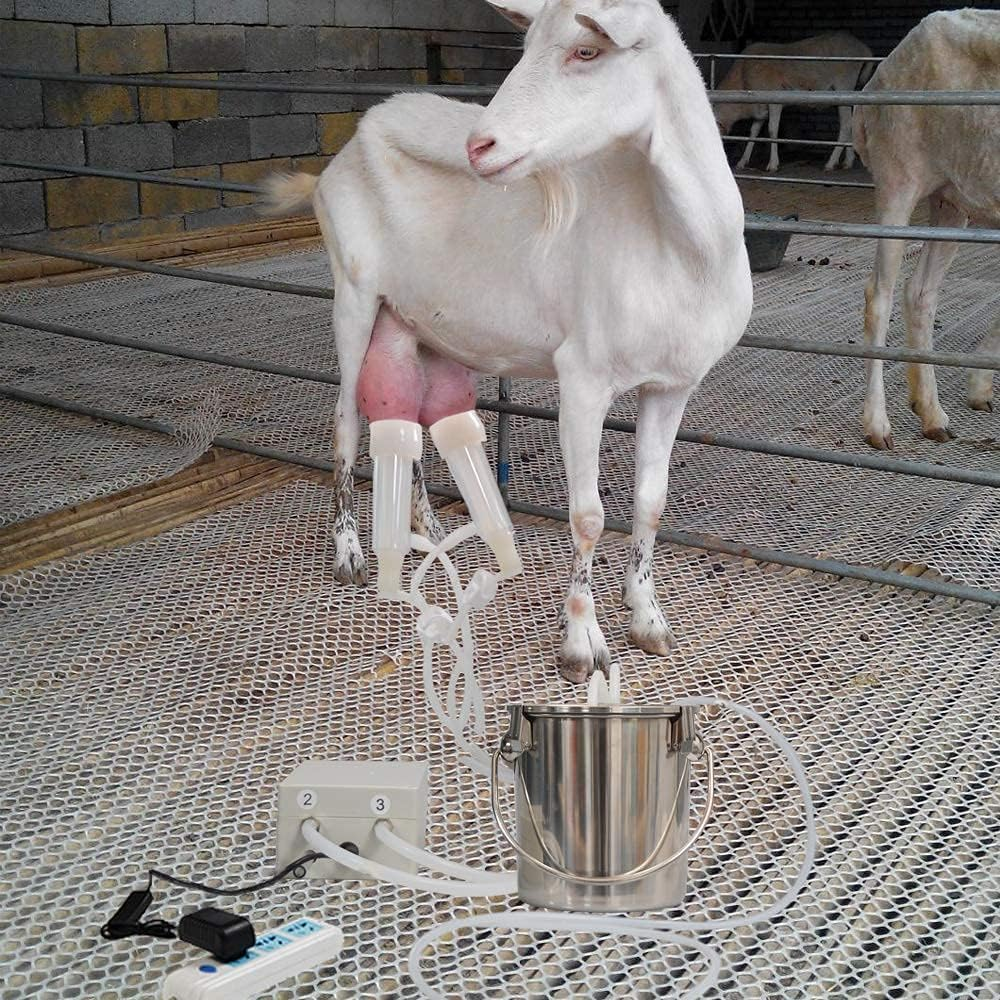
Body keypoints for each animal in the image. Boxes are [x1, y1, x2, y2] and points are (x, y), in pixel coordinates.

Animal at [264, 0, 752, 683]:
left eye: (586, 51)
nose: (479, 145)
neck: (676, 244)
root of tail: (343, 153)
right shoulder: (584, 378)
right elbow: (587, 516)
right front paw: (581, 645)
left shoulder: (673, 385)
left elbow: (651, 504)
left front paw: (648, 620)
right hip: (353, 293)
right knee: (344, 420)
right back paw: (351, 554)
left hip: (418, 320)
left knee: (409, 415)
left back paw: (426, 527)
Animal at [715, 32, 877, 172]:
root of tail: (863, 48)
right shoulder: (759, 107)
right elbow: (753, 132)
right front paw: (743, 161)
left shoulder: (774, 100)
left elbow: (772, 130)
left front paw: (773, 164)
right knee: (850, 123)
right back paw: (847, 162)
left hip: (843, 85)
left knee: (846, 125)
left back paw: (831, 163)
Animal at [854, 9, 1000, 449]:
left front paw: (979, 386)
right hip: (898, 176)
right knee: (879, 295)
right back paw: (877, 425)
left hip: (950, 198)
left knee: (920, 292)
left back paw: (932, 414)